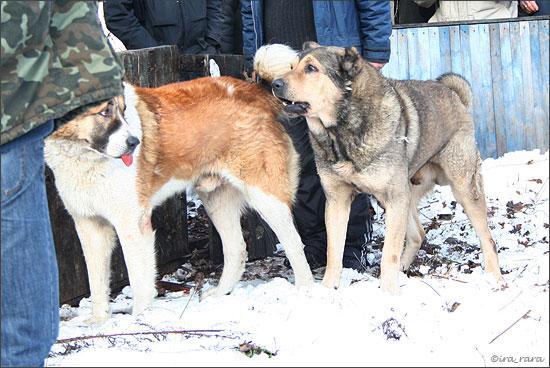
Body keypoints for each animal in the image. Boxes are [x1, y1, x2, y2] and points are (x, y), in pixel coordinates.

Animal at [46, 77, 314, 322]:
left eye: (122, 111)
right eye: (104, 112)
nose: (134, 143)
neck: (82, 155)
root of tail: (255, 91)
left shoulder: (133, 225)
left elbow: (139, 279)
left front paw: (140, 319)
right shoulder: (89, 226)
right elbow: (97, 282)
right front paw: (98, 324)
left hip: (265, 196)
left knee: (294, 244)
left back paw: (305, 291)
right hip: (217, 201)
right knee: (237, 249)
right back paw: (219, 294)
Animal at [270, 41, 506, 294]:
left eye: (311, 68)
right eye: (291, 67)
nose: (275, 84)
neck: (342, 132)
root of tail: (454, 94)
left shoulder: (394, 198)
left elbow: (388, 254)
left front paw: (388, 293)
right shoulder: (338, 200)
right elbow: (334, 252)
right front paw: (327, 289)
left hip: (462, 188)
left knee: (488, 239)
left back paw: (495, 278)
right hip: (404, 195)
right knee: (418, 234)